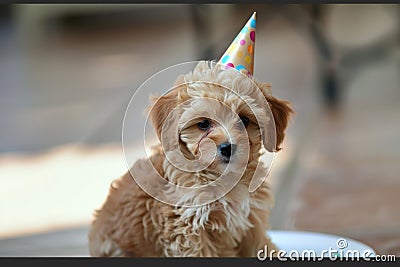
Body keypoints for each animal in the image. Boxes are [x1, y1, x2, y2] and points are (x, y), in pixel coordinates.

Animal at [88, 60, 294, 258]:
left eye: (244, 120)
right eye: (203, 124)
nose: (227, 148)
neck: (222, 178)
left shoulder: (251, 219)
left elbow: (261, 246)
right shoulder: (188, 229)